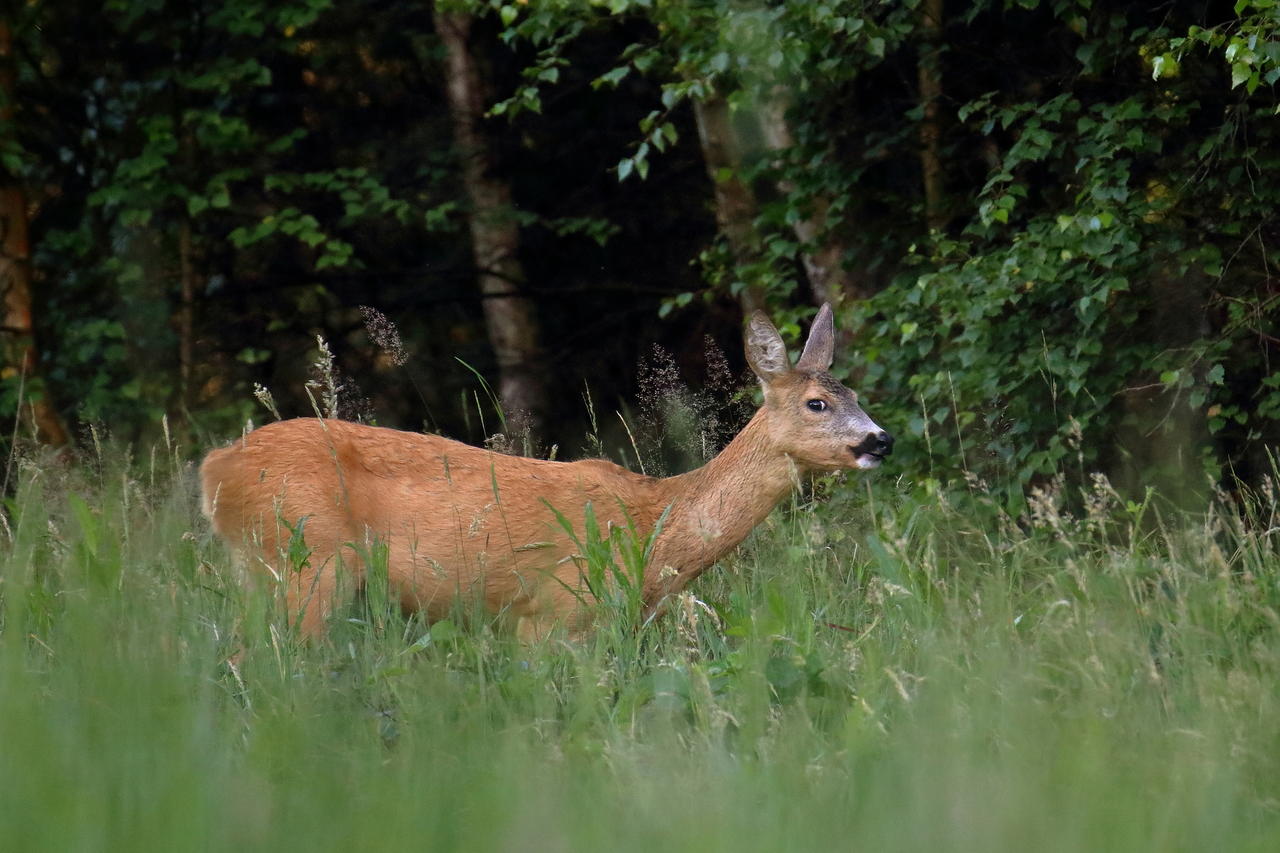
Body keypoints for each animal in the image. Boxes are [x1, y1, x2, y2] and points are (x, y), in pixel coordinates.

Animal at [199, 302, 896, 640]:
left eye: (858, 394)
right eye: (817, 403)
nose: (880, 440)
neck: (654, 528)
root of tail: (214, 469)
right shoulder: (554, 613)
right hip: (308, 562)